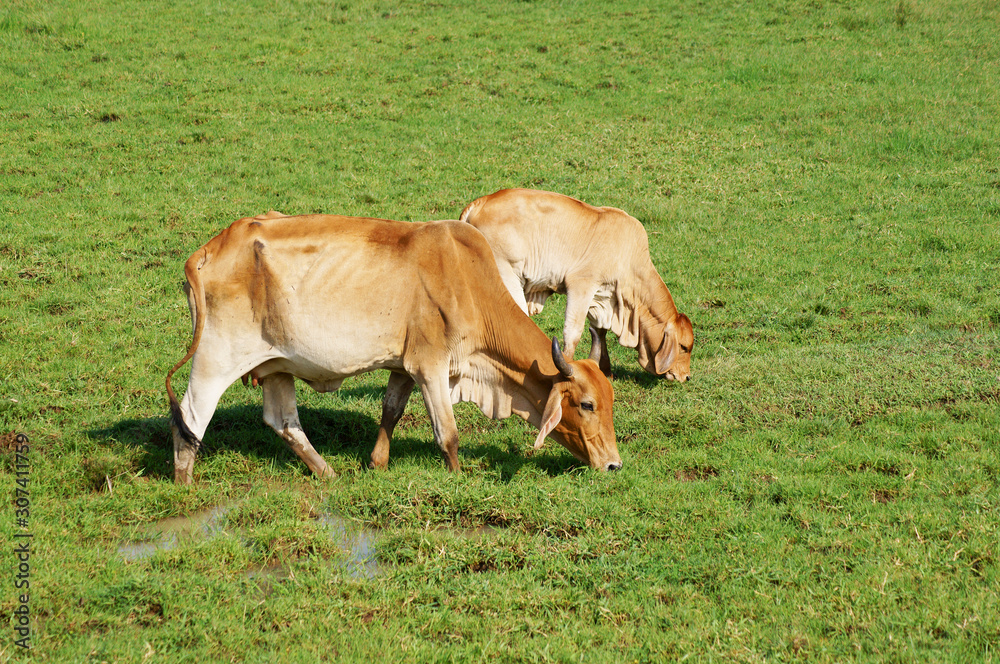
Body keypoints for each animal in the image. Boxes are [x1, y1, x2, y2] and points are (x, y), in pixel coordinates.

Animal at [165, 213, 620, 482]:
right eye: (587, 405)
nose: (614, 463)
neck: (466, 280)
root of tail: (209, 249)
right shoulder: (431, 366)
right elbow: (448, 434)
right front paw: (458, 478)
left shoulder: (404, 366)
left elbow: (391, 412)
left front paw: (377, 463)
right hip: (216, 359)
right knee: (190, 419)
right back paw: (185, 484)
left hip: (277, 365)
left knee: (283, 422)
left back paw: (328, 474)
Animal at [460, 189, 696, 382]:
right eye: (684, 347)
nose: (686, 377)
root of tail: (480, 202)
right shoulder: (581, 285)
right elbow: (573, 332)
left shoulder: (601, 295)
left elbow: (599, 332)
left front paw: (606, 371)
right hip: (506, 275)